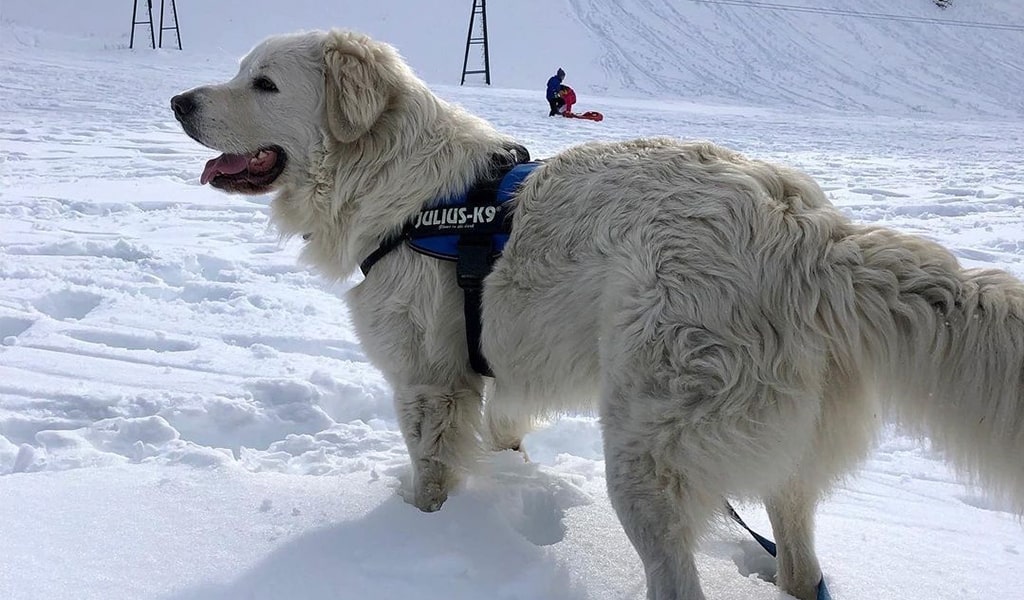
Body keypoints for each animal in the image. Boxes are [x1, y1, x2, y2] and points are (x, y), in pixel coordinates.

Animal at [176, 29, 1024, 600]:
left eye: (263, 84)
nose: (179, 100)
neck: (406, 189)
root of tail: (804, 230)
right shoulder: (497, 373)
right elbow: (504, 433)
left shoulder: (426, 379)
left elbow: (431, 469)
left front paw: (416, 533)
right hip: (785, 460)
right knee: (798, 559)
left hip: (646, 452)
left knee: (678, 579)